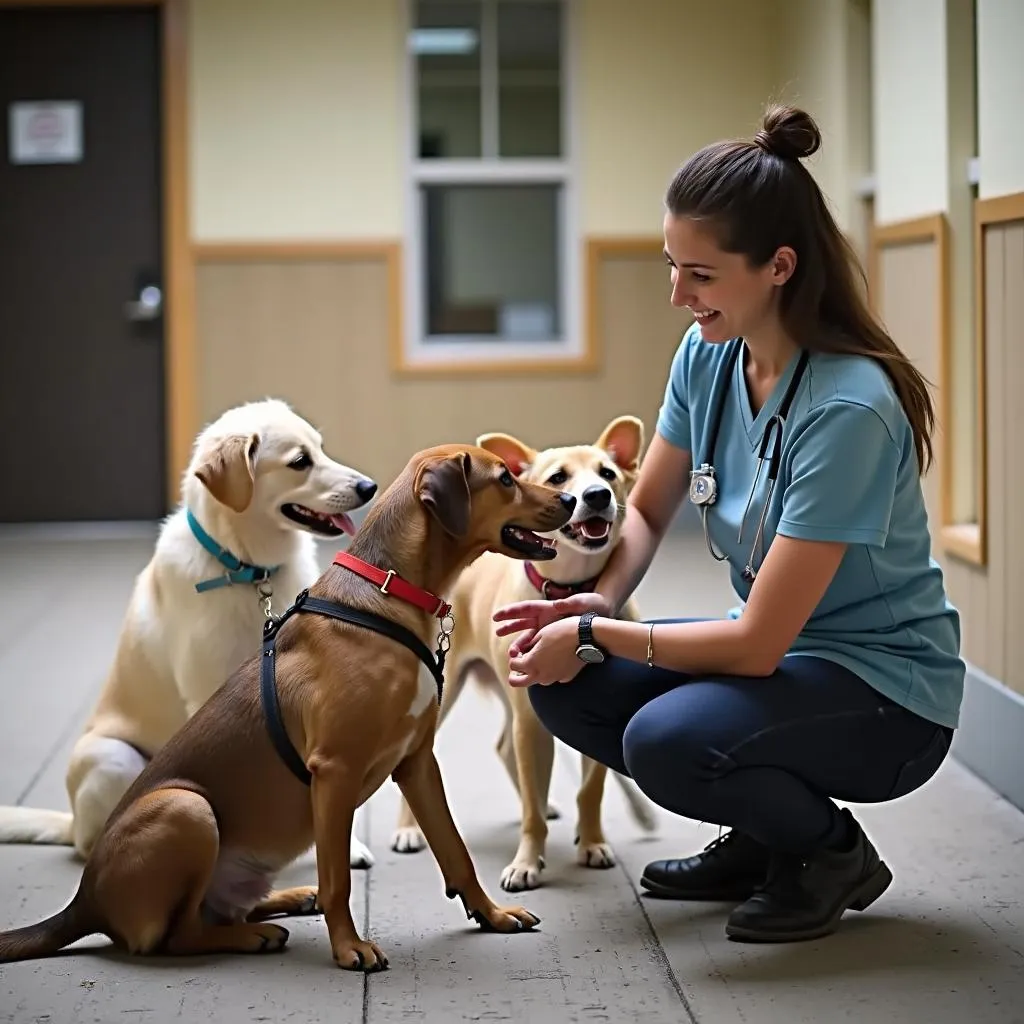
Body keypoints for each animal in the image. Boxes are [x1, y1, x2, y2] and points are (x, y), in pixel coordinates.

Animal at [0, 395, 380, 868]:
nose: (370, 487)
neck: (250, 570)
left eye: (321, 449)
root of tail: (72, 825)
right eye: (299, 462)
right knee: (95, 840)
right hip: (111, 757)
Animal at [0, 444, 577, 970]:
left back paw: (285, 902)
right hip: (186, 807)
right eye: (506, 479)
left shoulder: (416, 763)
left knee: (222, 910)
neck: (386, 593)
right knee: (175, 936)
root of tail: (84, 902)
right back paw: (252, 934)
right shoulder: (335, 771)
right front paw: (349, 948)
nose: (571, 499)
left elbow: (456, 853)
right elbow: (337, 878)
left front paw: (493, 915)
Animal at [391, 413, 655, 888]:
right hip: (447, 693)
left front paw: (592, 842)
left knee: (503, 749)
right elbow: (532, 801)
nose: (596, 495)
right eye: (558, 478)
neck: (565, 590)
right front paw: (528, 861)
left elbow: (590, 791)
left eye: (608, 474)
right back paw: (408, 830)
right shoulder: (530, 722)